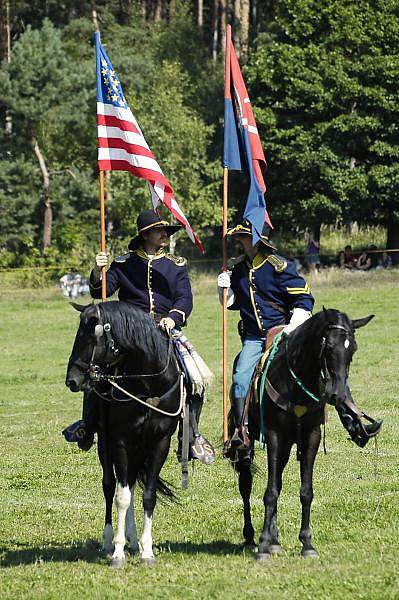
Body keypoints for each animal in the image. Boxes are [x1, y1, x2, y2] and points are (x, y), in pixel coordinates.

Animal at [66, 302, 183, 564]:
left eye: (89, 337)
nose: (72, 380)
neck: (149, 385)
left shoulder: (160, 442)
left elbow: (148, 495)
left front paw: (147, 550)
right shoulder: (119, 441)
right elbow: (121, 497)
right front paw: (118, 553)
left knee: (129, 483)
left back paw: (133, 539)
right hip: (106, 445)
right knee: (111, 486)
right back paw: (111, 540)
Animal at [234, 308, 382, 560]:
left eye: (352, 349)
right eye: (328, 346)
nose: (337, 395)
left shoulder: (311, 437)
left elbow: (305, 492)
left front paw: (307, 544)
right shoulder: (274, 436)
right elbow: (270, 492)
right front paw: (263, 545)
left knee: (278, 479)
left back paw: (275, 540)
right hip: (248, 445)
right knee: (246, 484)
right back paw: (251, 537)